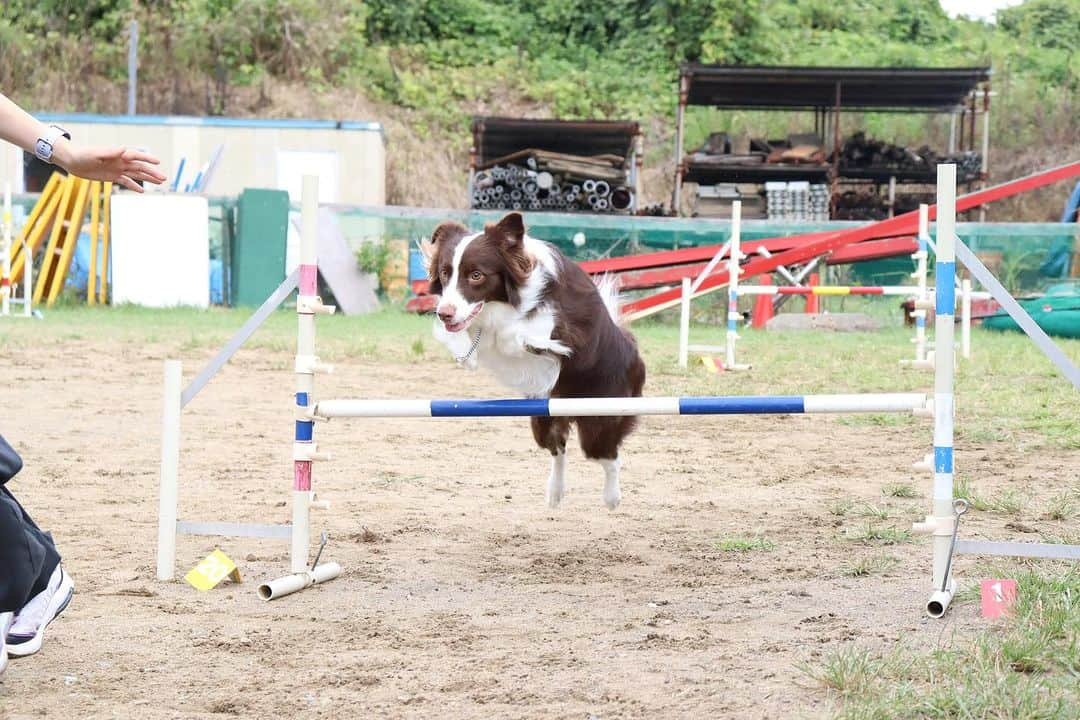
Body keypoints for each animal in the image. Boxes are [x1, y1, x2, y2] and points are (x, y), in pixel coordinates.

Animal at [419, 211, 639, 509]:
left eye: (476, 275)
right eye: (444, 273)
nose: (444, 313)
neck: (503, 301)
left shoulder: (571, 330)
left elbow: (520, 333)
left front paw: (522, 339)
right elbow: (466, 337)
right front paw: (467, 351)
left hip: (600, 416)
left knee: (609, 456)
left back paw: (612, 497)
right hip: (544, 416)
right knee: (558, 448)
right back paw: (555, 492)